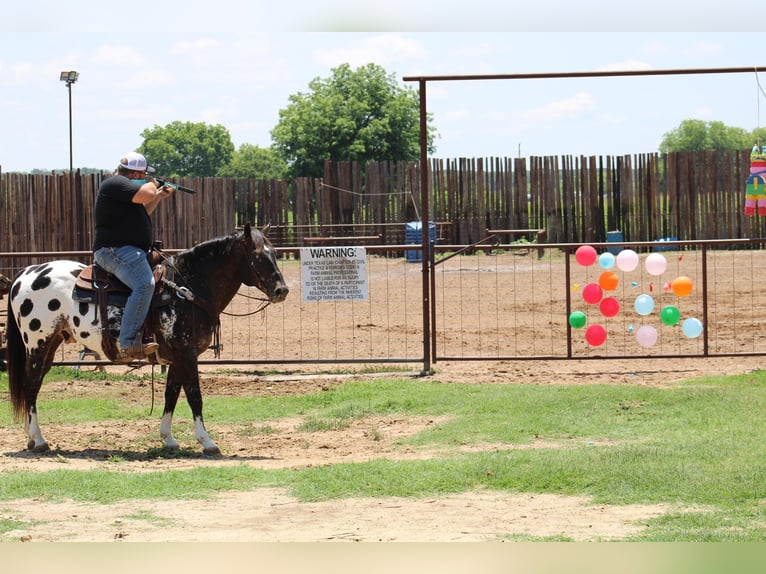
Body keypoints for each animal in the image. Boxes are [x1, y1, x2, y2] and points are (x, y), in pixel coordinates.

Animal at [5, 224, 292, 454]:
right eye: (258, 255)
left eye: (275, 253)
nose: (282, 290)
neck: (188, 289)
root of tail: (26, 273)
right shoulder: (186, 353)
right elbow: (194, 395)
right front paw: (207, 442)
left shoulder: (177, 356)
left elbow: (171, 394)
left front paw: (169, 439)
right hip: (38, 344)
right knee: (31, 385)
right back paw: (39, 440)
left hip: (51, 344)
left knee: (33, 386)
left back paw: (31, 437)